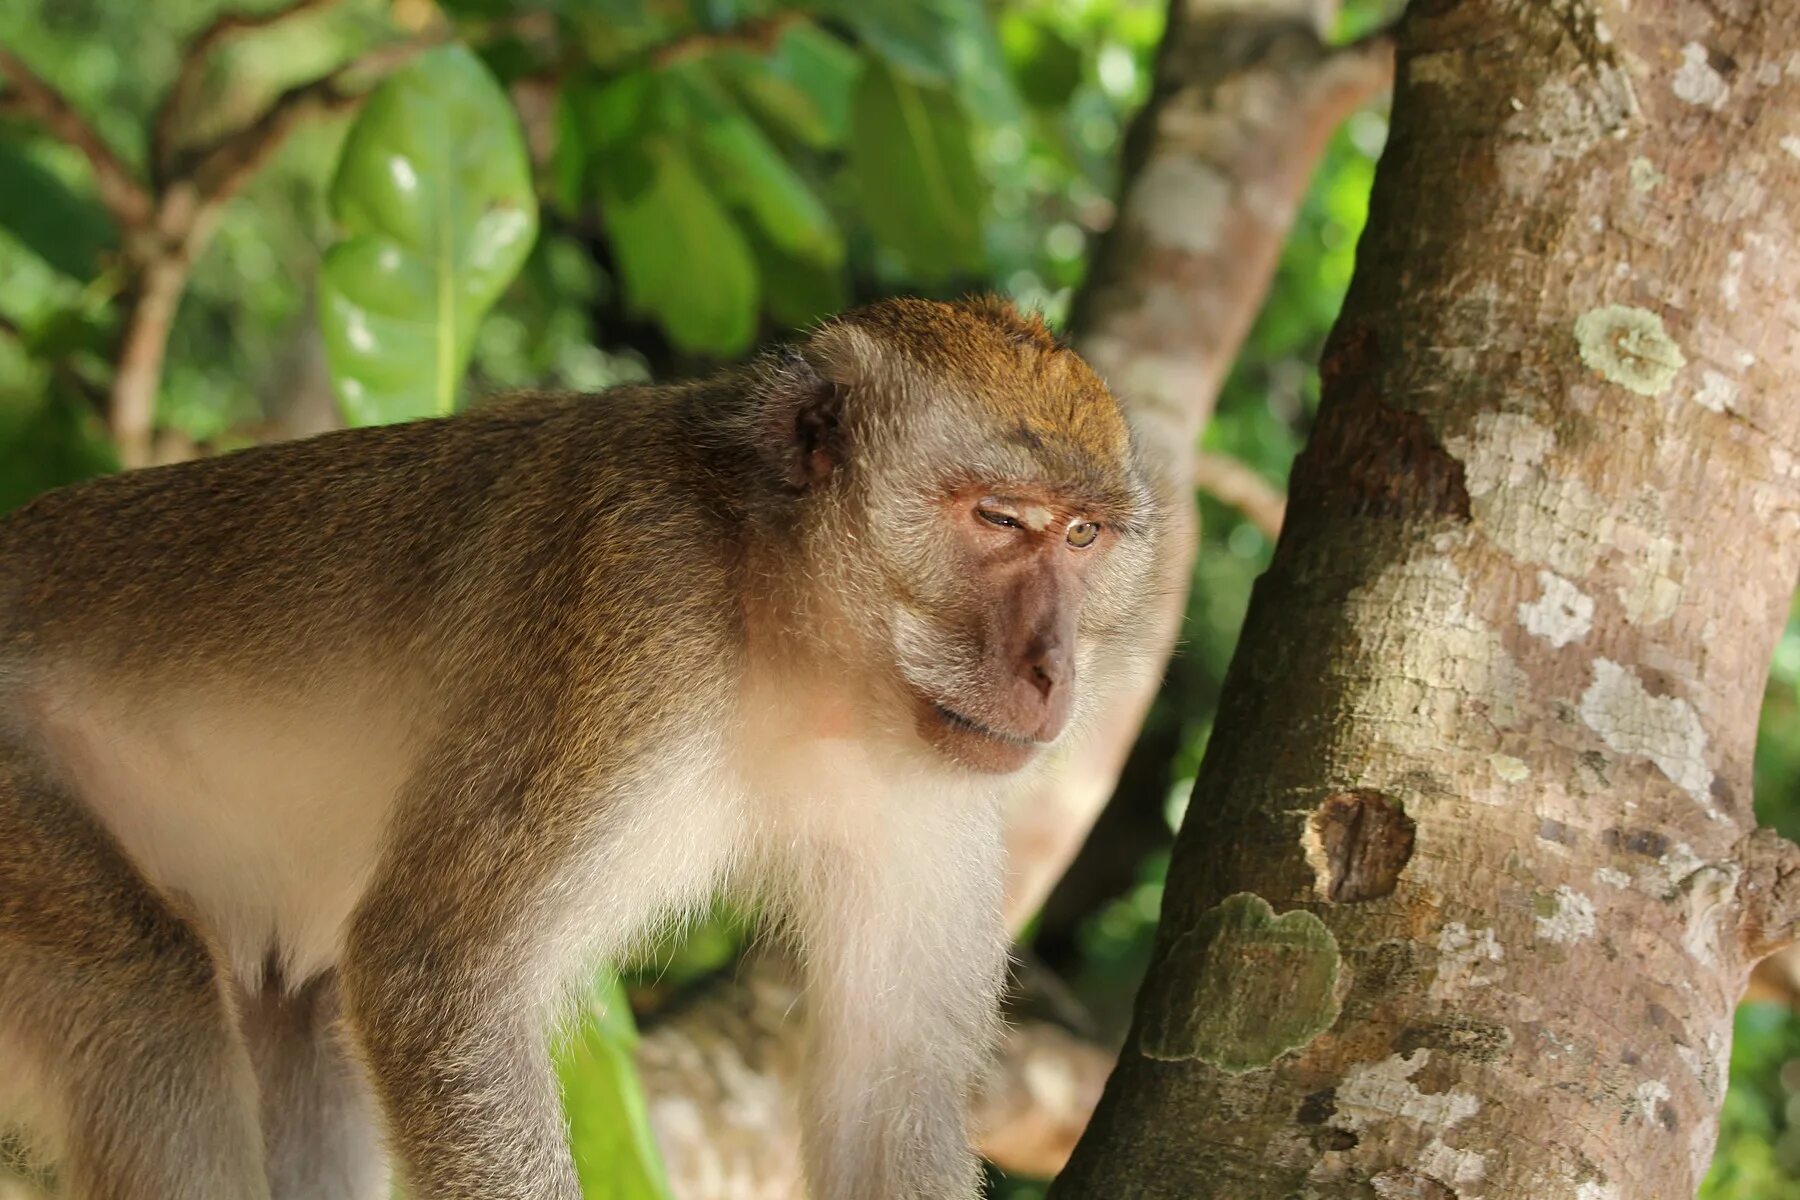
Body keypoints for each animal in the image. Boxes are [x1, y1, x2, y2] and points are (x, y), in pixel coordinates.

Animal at [0, 298, 1159, 1200]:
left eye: (1083, 536)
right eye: (1001, 520)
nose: (1052, 671)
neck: (777, 622)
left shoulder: (928, 780)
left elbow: (893, 1098)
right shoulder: (635, 605)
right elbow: (439, 985)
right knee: (143, 990)